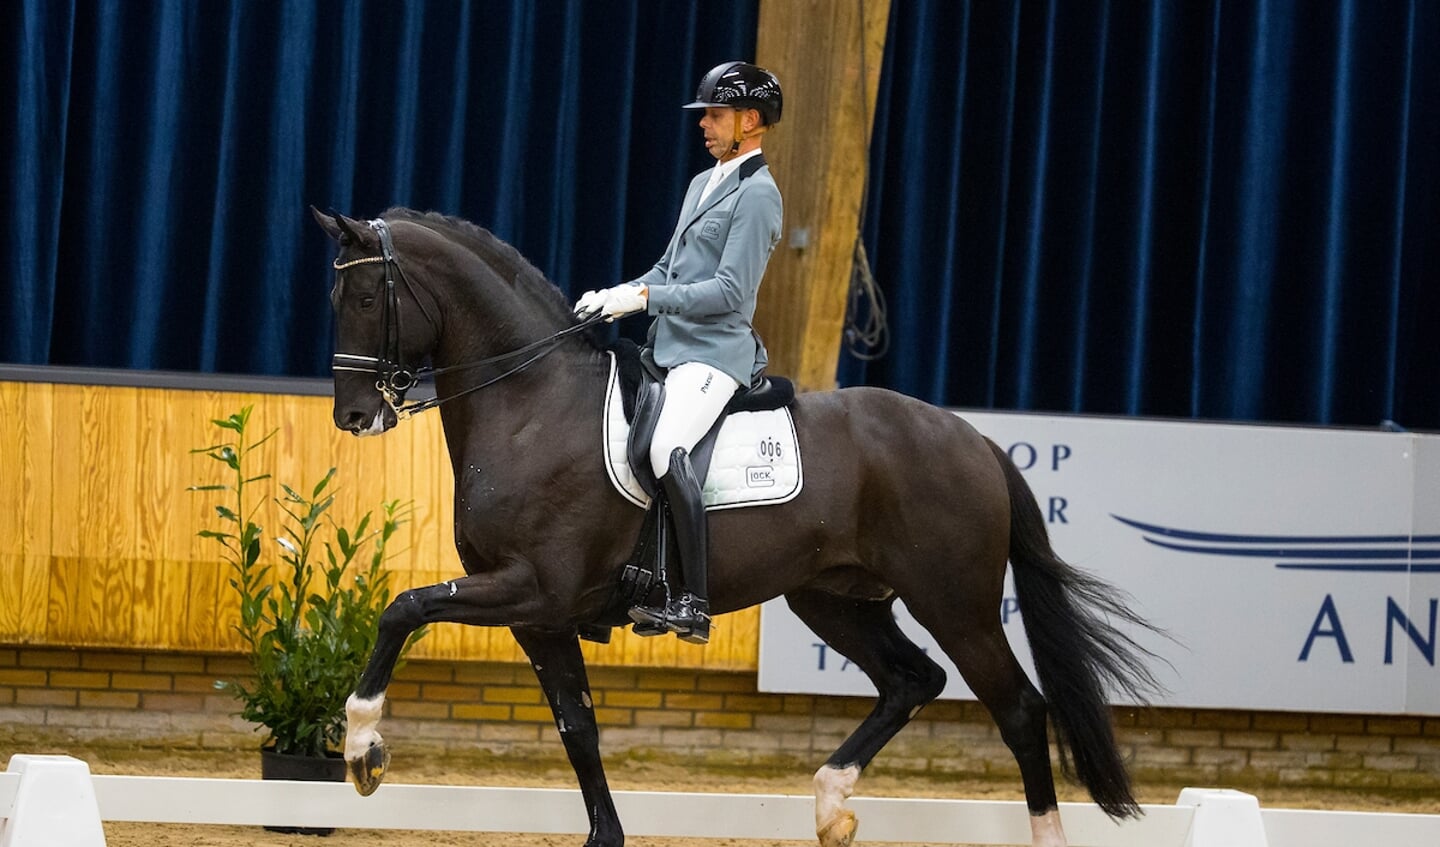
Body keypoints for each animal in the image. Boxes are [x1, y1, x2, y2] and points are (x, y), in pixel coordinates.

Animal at [312, 207, 1157, 847]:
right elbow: (577, 727)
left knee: (1018, 708)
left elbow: (403, 608)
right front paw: (605, 836)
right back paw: (830, 803)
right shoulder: (539, 615)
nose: (352, 416)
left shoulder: (532, 588)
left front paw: (362, 749)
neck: (532, 405)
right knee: (912, 679)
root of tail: (973, 437)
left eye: (366, 299)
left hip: (955, 601)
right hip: (833, 598)